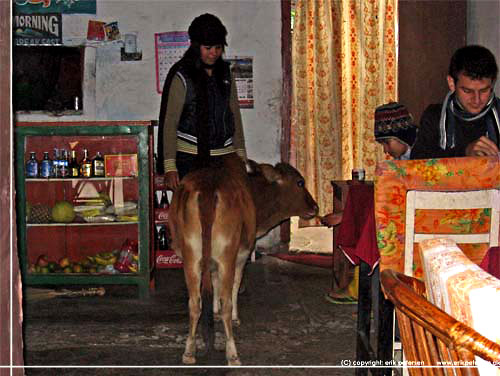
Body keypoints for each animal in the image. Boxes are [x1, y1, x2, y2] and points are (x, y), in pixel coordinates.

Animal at [168, 153, 316, 364]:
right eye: (300, 182)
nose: (315, 207)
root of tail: (207, 188)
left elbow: (214, 283)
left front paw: (213, 310)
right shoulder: (242, 254)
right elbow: (235, 286)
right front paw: (235, 317)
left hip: (190, 257)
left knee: (195, 303)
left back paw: (189, 352)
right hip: (226, 256)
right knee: (226, 303)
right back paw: (232, 353)